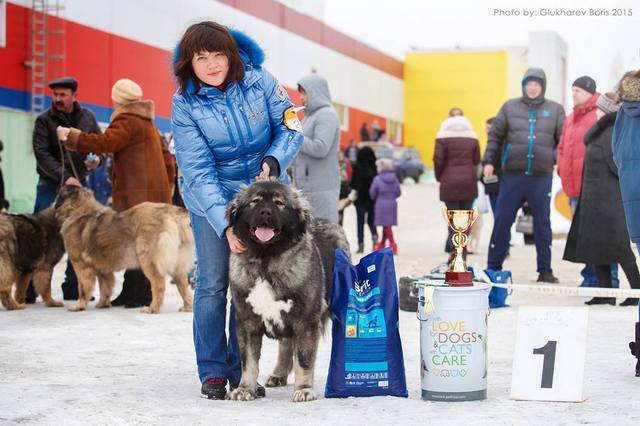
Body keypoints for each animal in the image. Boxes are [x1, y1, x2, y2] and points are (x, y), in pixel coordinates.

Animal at [53, 186, 194, 312]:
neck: (78, 209)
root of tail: (171, 212)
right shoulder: (103, 269)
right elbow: (105, 287)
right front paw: (102, 304)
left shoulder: (81, 266)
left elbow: (82, 288)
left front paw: (78, 306)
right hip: (178, 263)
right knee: (183, 286)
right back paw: (187, 307)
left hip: (149, 261)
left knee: (158, 284)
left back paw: (152, 309)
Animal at [226, 181, 350, 402]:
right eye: (255, 201)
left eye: (279, 203)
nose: (265, 212)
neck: (265, 259)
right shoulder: (248, 323)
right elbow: (248, 362)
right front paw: (245, 389)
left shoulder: (305, 320)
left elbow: (303, 360)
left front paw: (304, 389)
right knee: (285, 345)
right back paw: (278, 374)